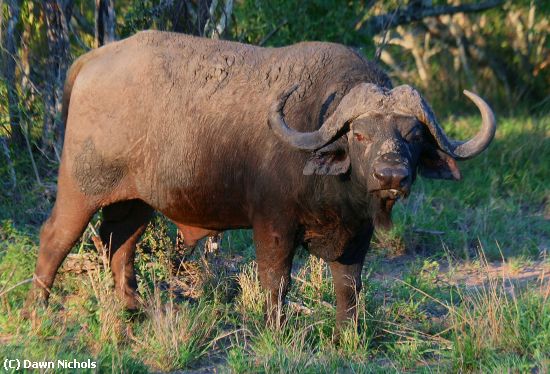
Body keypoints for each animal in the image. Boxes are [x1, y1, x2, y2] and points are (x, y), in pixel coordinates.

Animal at [25, 30, 498, 326]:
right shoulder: (273, 224)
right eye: (360, 133)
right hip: (80, 189)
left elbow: (350, 287)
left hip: (135, 201)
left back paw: (134, 308)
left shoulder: (356, 234)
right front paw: (275, 329)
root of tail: (93, 59)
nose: (391, 175)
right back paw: (40, 308)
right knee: (56, 237)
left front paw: (348, 333)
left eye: (414, 135)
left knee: (118, 242)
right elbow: (276, 281)